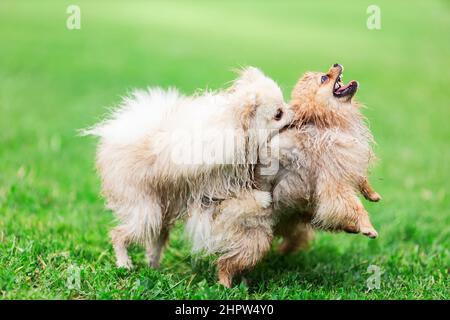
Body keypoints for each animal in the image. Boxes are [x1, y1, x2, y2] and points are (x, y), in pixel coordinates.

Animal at [84, 67, 292, 270]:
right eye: (278, 114)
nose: (293, 112)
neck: (239, 129)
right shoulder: (212, 186)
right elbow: (241, 196)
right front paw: (263, 198)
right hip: (146, 209)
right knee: (118, 234)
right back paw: (124, 263)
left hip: (162, 208)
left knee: (157, 238)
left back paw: (153, 265)